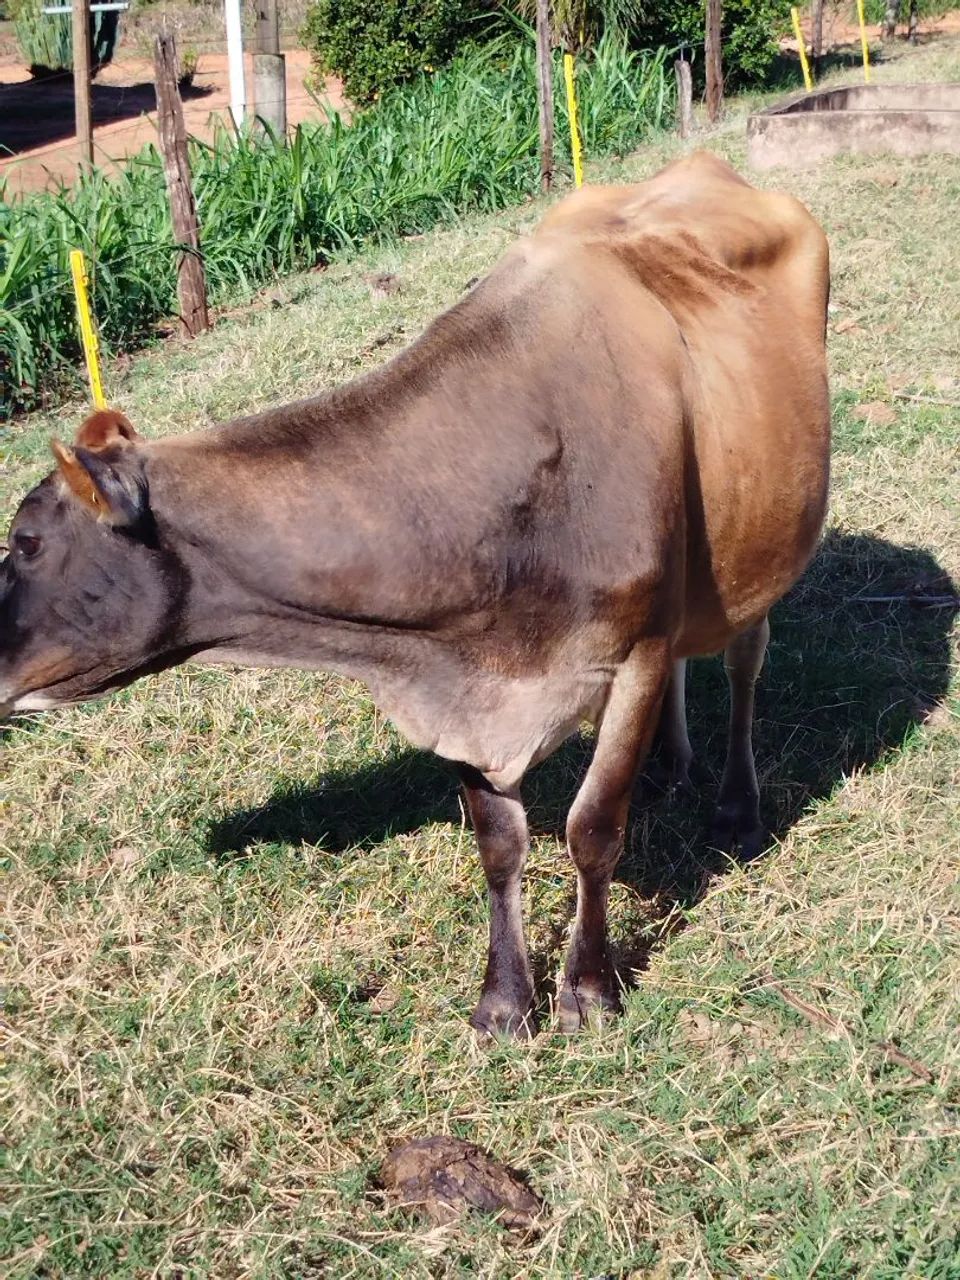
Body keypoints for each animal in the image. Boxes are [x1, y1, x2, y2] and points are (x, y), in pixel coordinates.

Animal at [0, 153, 830, 1038]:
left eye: (26, 541)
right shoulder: (457, 673)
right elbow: (499, 842)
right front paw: (504, 1000)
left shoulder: (633, 647)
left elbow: (594, 827)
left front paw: (589, 989)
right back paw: (670, 763)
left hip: (768, 541)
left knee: (744, 661)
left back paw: (735, 803)